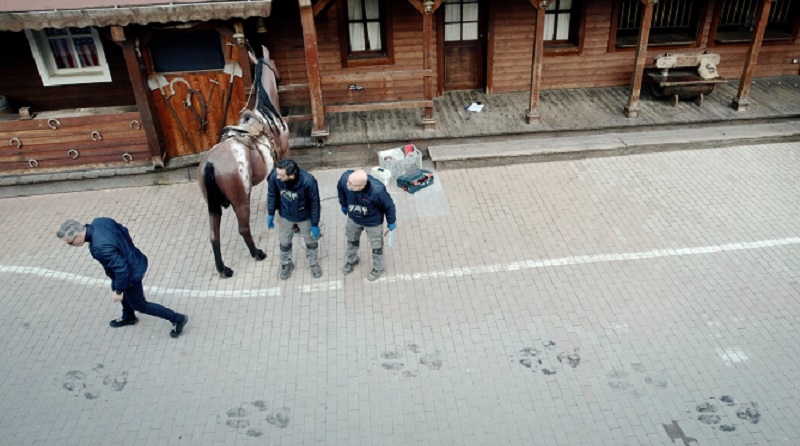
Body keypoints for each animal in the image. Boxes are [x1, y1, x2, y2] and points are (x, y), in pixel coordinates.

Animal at [197, 48, 288, 278]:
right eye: (274, 62)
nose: (280, 77)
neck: (268, 113)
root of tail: (211, 164)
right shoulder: (284, 154)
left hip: (213, 206)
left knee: (214, 235)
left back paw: (223, 269)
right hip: (240, 200)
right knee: (243, 229)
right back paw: (257, 253)